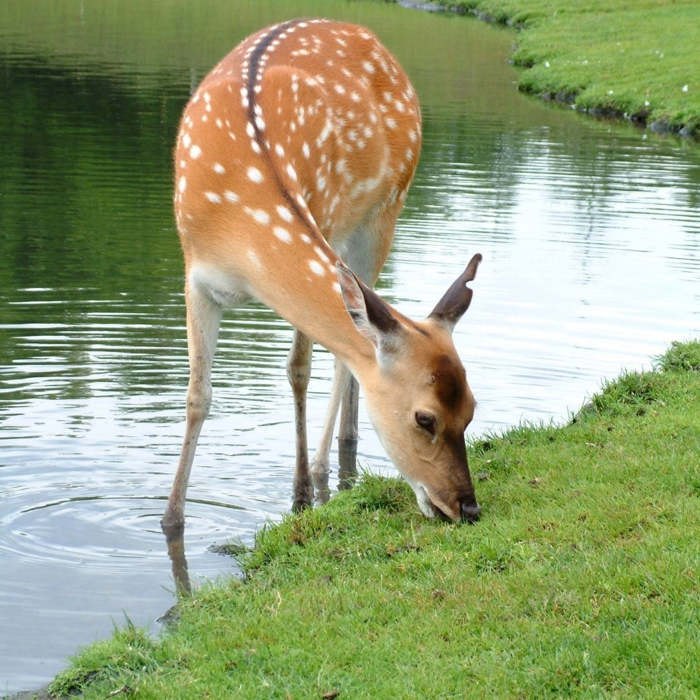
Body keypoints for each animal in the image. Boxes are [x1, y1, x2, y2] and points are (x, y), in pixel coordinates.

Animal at [163, 17, 482, 536]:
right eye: (425, 418)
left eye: (473, 410)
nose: (467, 507)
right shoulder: (196, 275)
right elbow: (197, 396)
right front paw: (171, 517)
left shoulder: (326, 222)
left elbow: (299, 369)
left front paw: (300, 493)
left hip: (385, 209)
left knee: (346, 355)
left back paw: (324, 465)